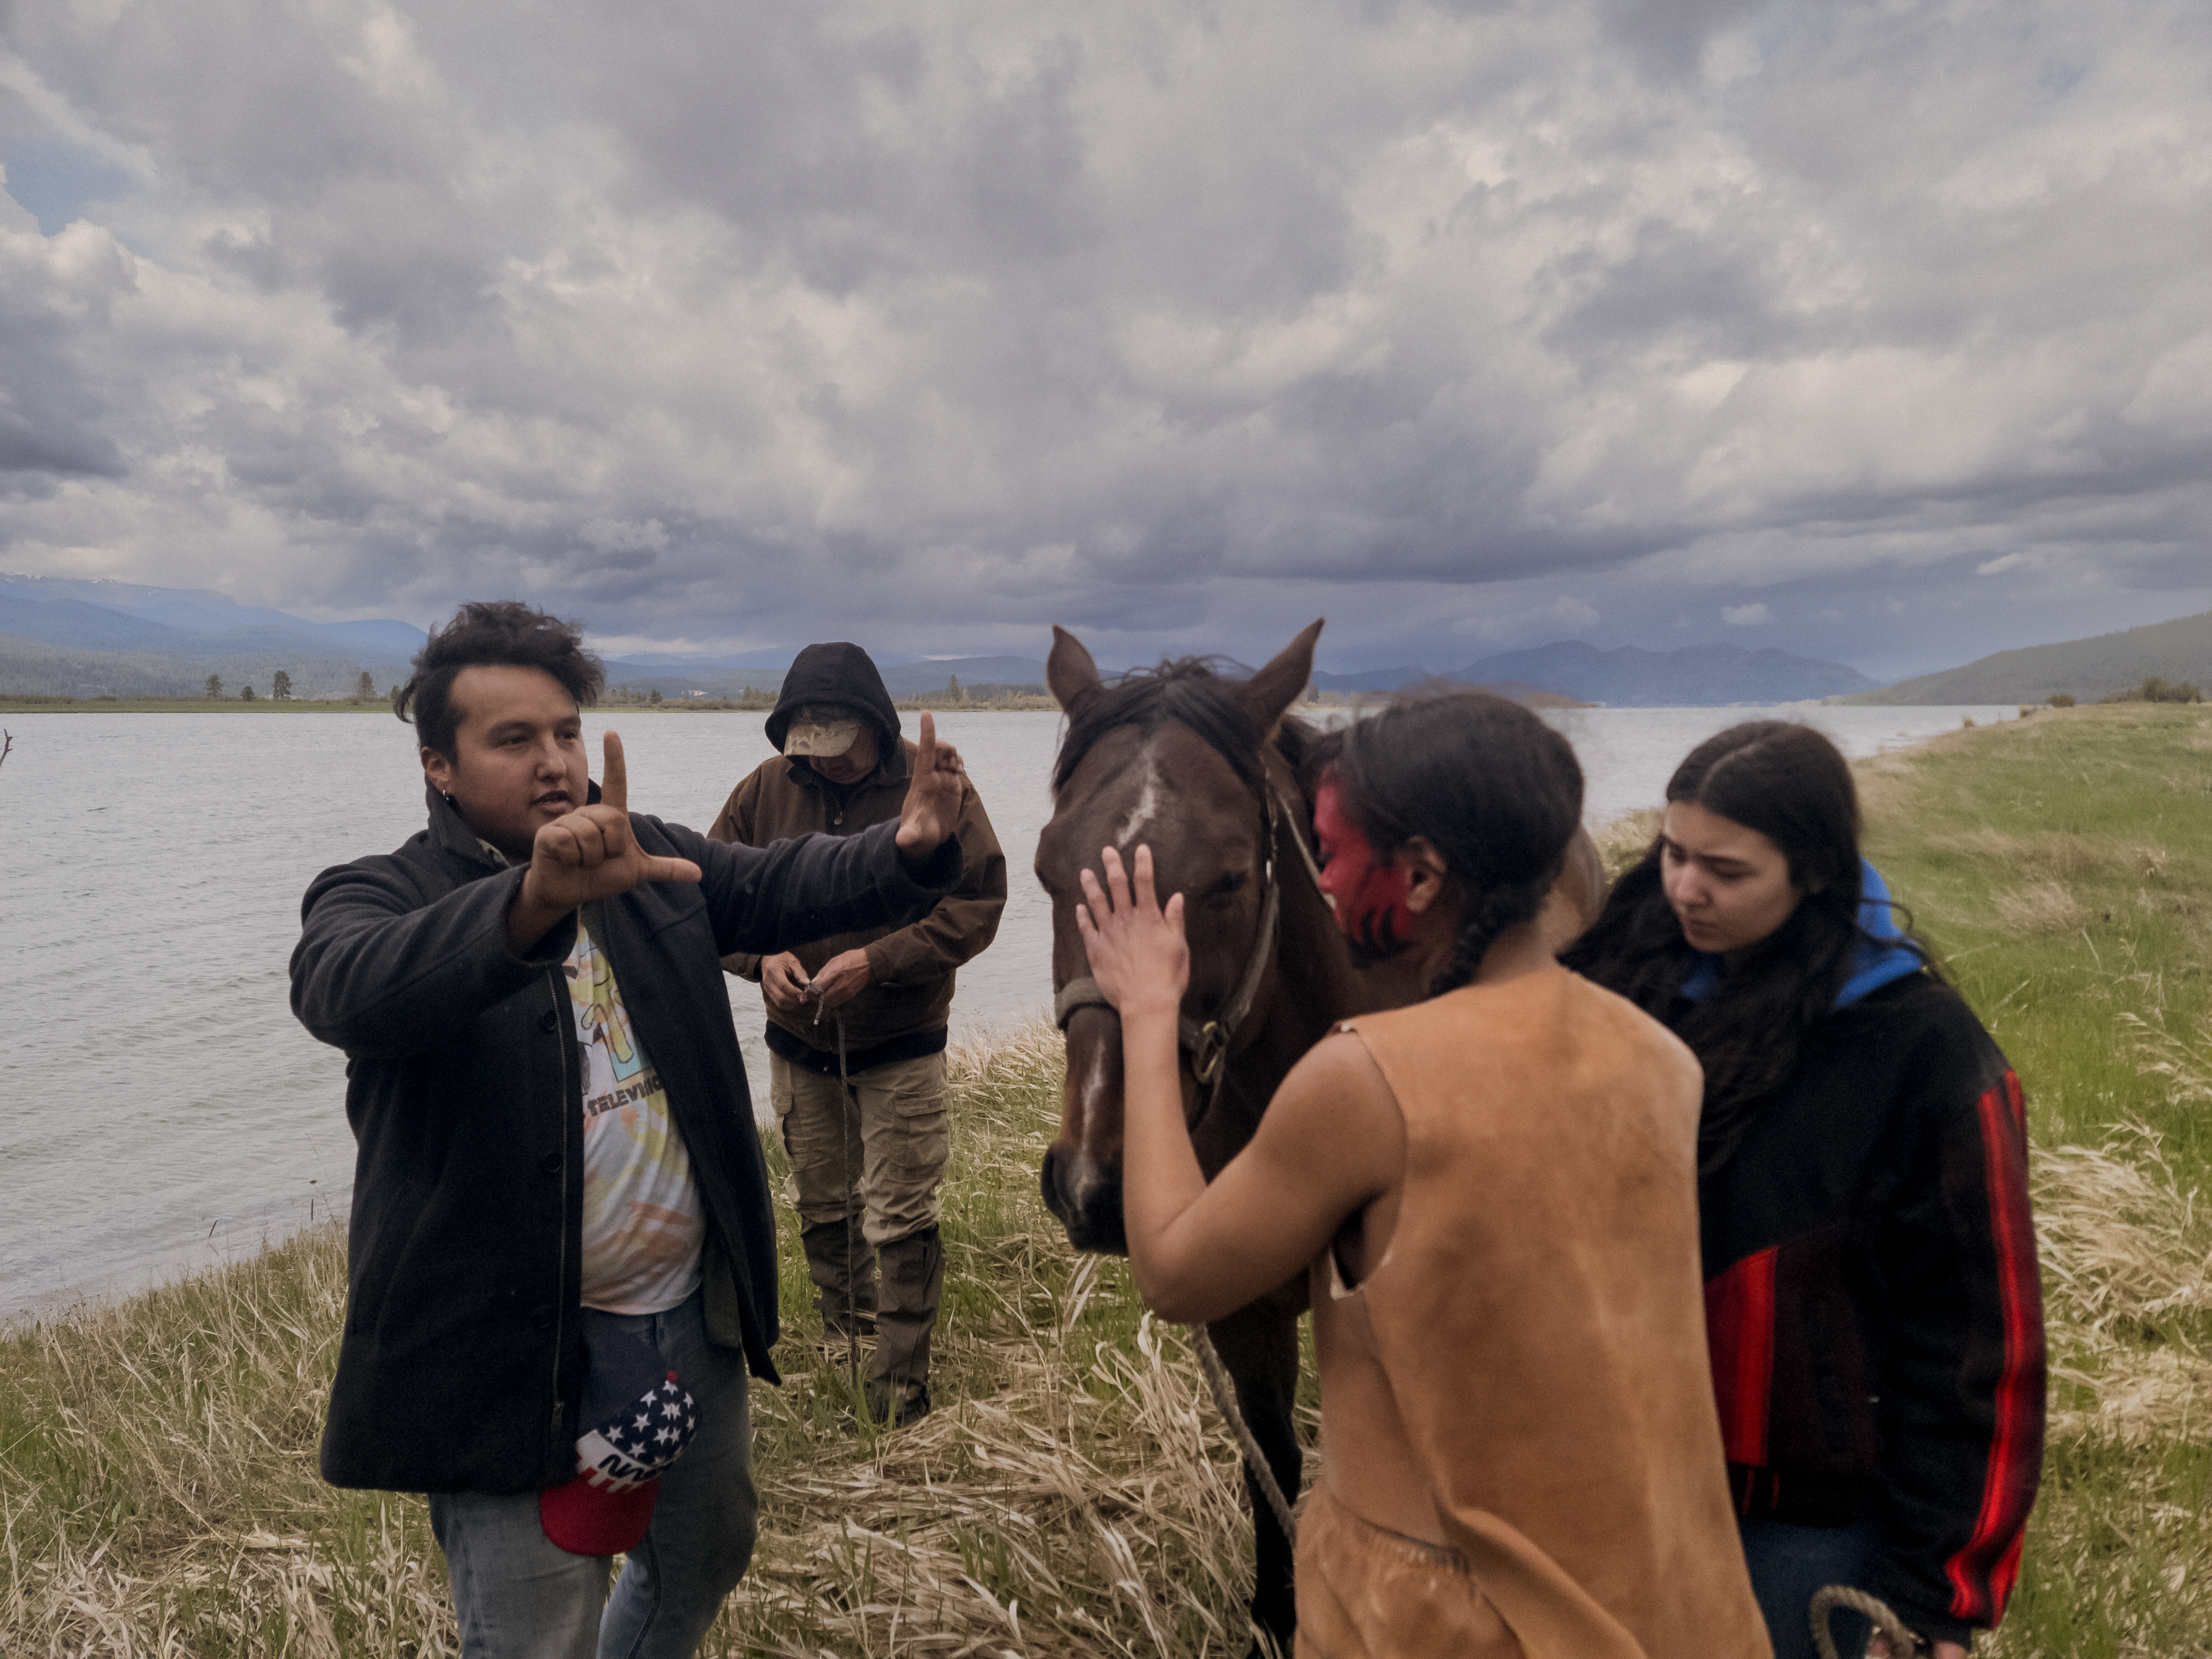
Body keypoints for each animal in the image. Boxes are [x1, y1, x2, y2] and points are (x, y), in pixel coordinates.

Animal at [1026, 619, 1389, 1655]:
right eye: (1048, 868)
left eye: (1229, 876)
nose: (1094, 1188)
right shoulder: (1247, 1313)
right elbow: (1272, 1465)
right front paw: (1276, 1614)